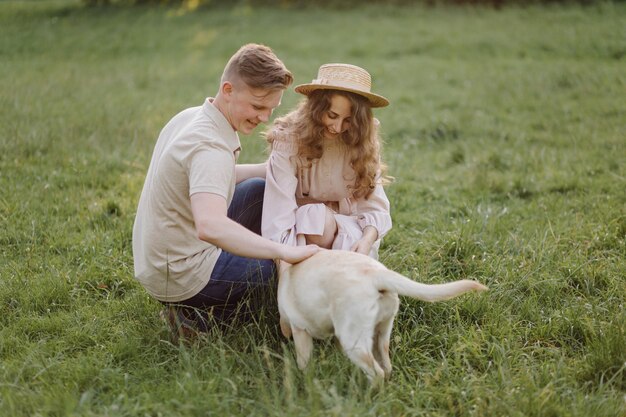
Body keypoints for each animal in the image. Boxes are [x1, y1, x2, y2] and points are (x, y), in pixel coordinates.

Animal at [278, 249, 488, 382]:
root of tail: (375, 274)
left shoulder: (299, 330)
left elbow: (303, 361)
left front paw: (304, 380)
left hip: (354, 342)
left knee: (376, 372)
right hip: (382, 331)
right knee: (386, 366)